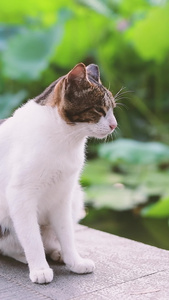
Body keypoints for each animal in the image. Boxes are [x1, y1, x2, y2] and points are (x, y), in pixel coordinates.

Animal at [0, 62, 117, 284]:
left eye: (113, 109)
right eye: (99, 109)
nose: (114, 125)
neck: (65, 139)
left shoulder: (63, 195)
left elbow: (66, 233)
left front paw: (74, 262)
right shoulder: (21, 195)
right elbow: (31, 237)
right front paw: (39, 268)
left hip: (76, 197)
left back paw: (57, 252)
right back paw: (23, 256)